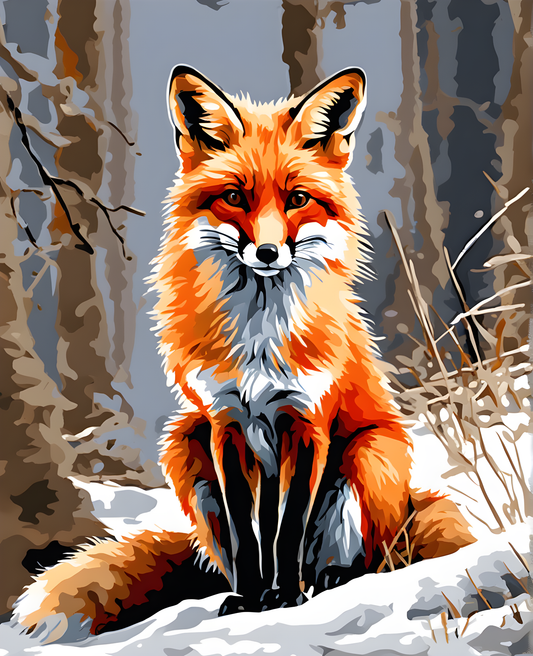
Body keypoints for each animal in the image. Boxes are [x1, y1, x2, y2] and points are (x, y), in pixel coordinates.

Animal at [14, 66, 475, 638]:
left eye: (297, 199)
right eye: (235, 196)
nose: (269, 252)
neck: (259, 340)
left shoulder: (307, 422)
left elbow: (289, 527)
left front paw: (286, 597)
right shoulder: (224, 423)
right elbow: (247, 533)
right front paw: (253, 597)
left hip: (369, 458)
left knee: (369, 559)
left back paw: (326, 582)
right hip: (184, 447)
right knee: (235, 547)